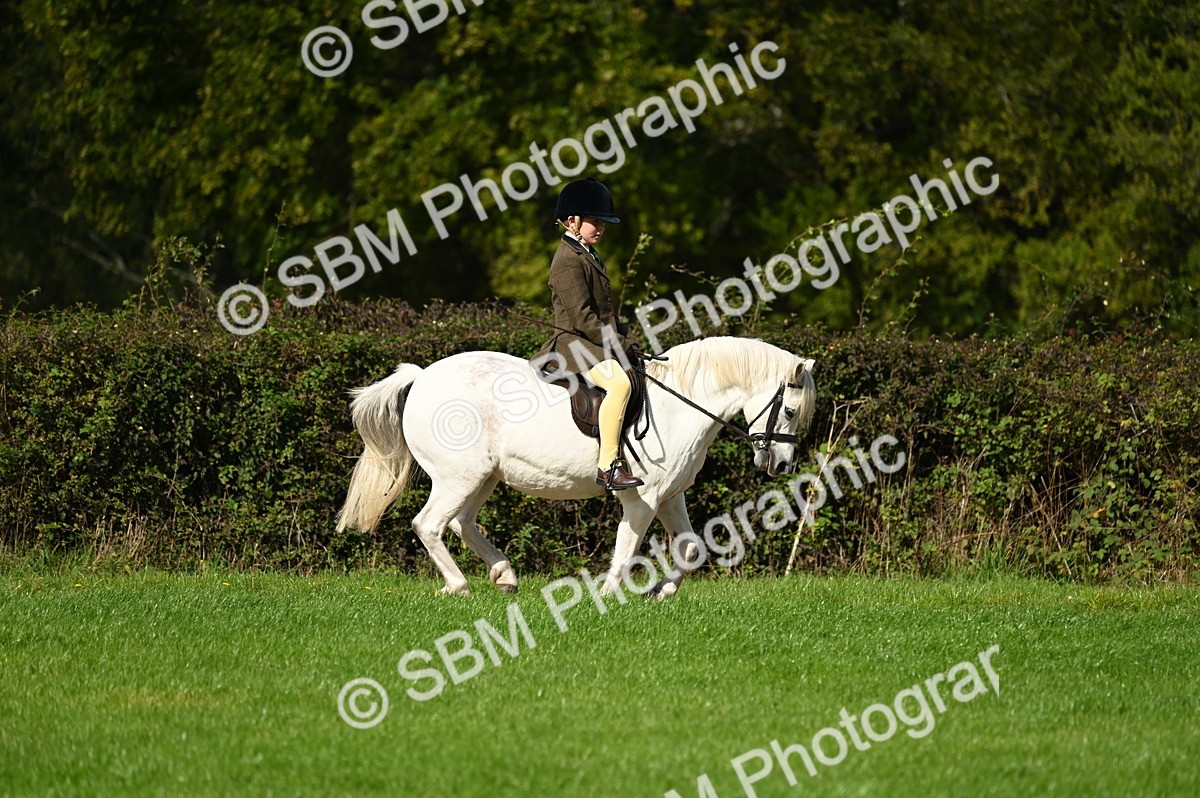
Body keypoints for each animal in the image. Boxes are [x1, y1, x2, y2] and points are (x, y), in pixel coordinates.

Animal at [336, 336, 816, 598]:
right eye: (792, 412)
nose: (781, 465)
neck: (681, 401)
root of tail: (421, 377)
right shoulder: (642, 498)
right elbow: (626, 550)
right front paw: (607, 595)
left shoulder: (671, 496)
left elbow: (692, 549)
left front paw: (662, 593)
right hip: (459, 477)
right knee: (430, 525)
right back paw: (460, 585)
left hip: (481, 477)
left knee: (461, 523)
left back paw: (504, 575)